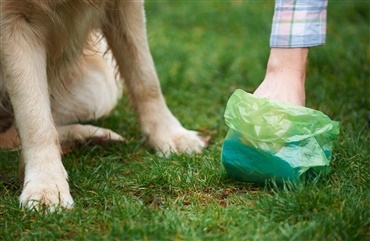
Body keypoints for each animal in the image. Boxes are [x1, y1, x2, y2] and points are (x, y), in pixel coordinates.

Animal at [0, 0, 207, 211]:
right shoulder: (12, 21)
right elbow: (34, 118)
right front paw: (46, 185)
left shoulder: (125, 8)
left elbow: (145, 77)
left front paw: (171, 135)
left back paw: (94, 137)